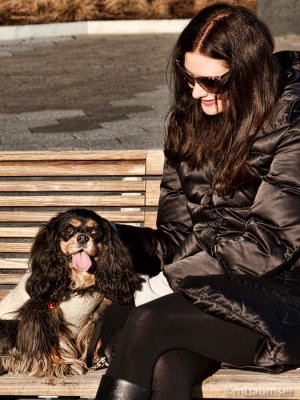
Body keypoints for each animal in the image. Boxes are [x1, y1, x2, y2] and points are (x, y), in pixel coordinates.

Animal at [0, 209, 144, 378]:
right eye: (68, 230)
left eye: (95, 232)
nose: (82, 238)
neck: (79, 280)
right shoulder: (44, 312)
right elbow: (51, 342)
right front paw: (59, 364)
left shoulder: (98, 314)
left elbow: (96, 339)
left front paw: (96, 360)